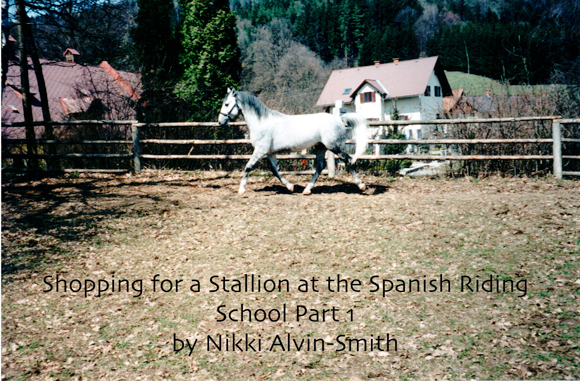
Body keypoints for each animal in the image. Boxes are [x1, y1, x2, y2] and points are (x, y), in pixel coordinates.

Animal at [218, 88, 368, 194]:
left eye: (227, 104)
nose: (220, 122)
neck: (261, 122)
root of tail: (338, 118)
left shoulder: (260, 150)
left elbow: (248, 166)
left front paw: (241, 189)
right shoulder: (270, 153)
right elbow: (274, 170)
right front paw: (290, 187)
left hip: (335, 147)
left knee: (349, 160)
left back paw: (361, 186)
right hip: (320, 147)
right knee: (320, 166)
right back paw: (307, 190)